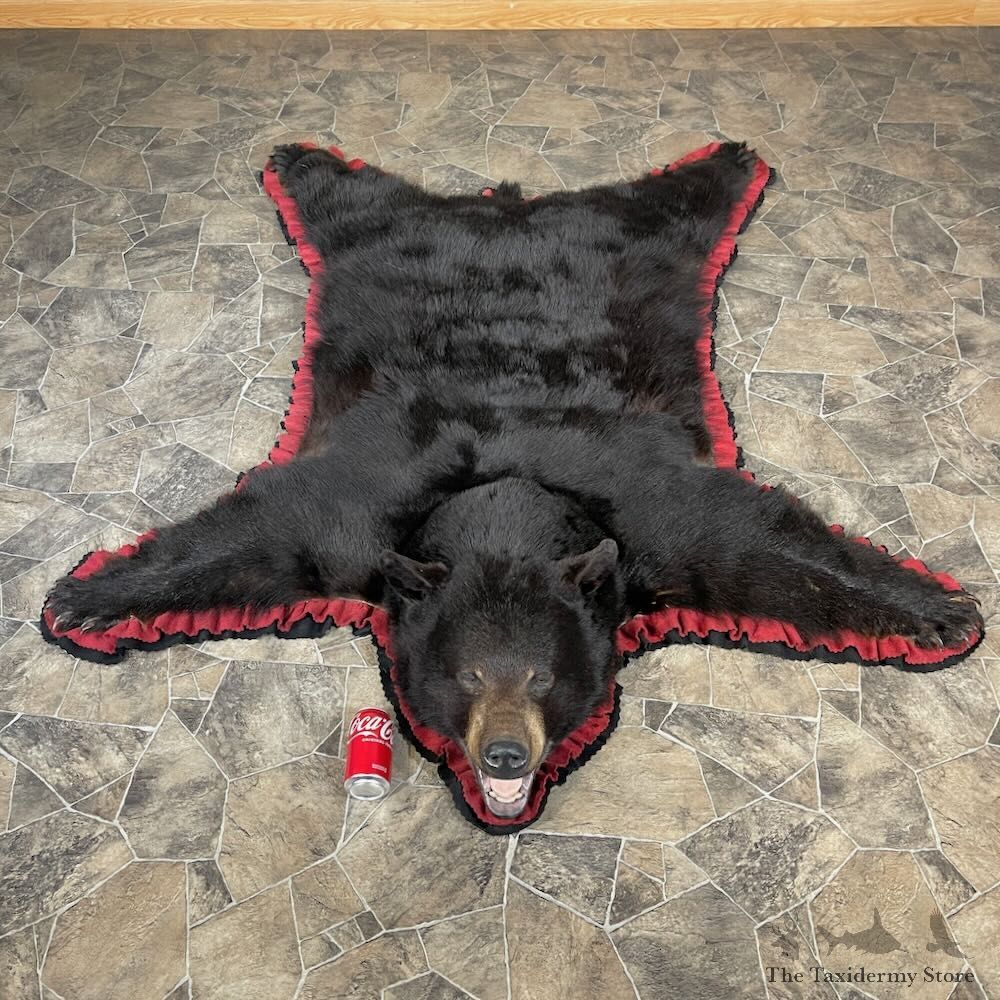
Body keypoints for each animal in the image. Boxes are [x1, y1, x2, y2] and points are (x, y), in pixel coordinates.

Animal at [47, 141, 983, 820]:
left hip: (651, 234)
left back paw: (728, 158)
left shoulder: (648, 515)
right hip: (373, 232)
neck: (505, 504)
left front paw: (933, 609)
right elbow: (265, 532)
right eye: (465, 677)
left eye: (541, 677)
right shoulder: (364, 511)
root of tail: (508, 207)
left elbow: (754, 545)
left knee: (680, 194)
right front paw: (92, 594)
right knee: (346, 192)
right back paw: (300, 157)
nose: (504, 754)